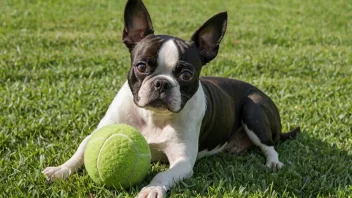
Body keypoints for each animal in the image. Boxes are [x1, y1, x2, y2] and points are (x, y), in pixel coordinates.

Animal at [42, 0, 300, 197]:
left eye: (186, 75)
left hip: (253, 110)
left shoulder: (182, 161)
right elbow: (80, 151)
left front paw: (152, 189)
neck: (152, 117)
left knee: (269, 145)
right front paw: (60, 170)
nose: (161, 83)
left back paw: (273, 162)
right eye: (142, 66)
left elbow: (162, 174)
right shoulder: (98, 132)